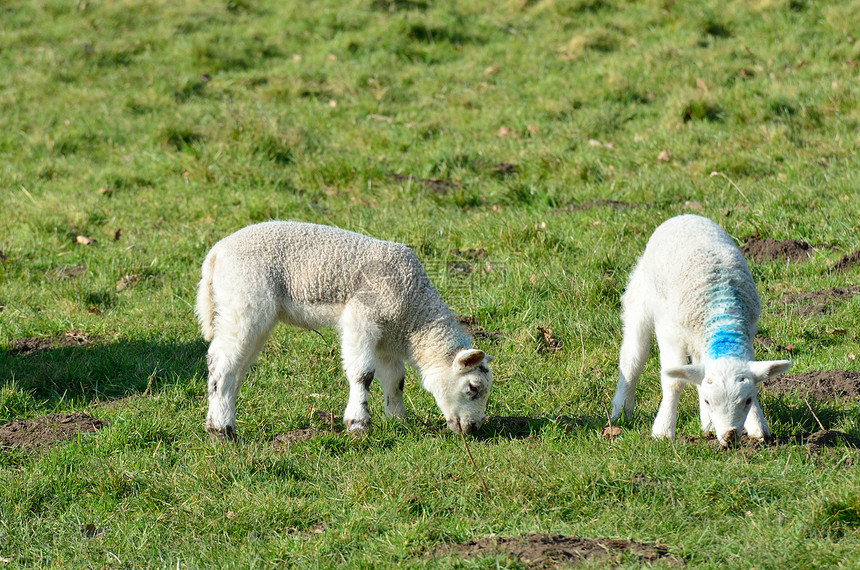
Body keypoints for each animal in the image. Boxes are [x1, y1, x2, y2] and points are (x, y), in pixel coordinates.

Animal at [194, 220, 490, 438]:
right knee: (221, 363)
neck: (414, 315)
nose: (473, 428)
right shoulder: (362, 317)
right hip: (244, 299)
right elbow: (363, 374)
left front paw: (398, 420)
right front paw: (358, 424)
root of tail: (216, 253)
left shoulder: (387, 338)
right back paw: (222, 430)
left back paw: (218, 423)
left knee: (237, 366)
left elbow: (395, 379)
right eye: (473, 388)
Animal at [608, 213, 788, 444]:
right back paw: (621, 412)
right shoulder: (670, 332)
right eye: (709, 401)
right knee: (632, 359)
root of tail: (684, 216)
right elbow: (674, 382)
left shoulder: (748, 329)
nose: (730, 436)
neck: (722, 312)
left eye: (748, 400)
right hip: (640, 299)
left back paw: (708, 425)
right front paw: (663, 431)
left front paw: (758, 426)